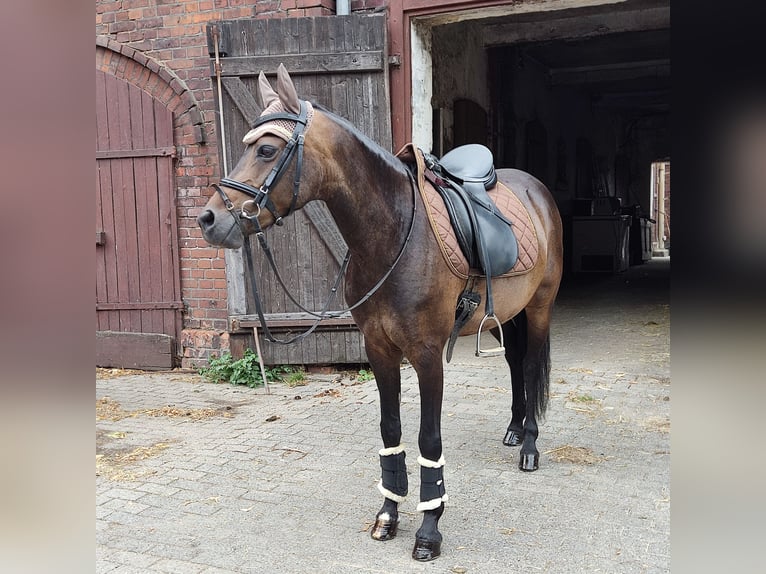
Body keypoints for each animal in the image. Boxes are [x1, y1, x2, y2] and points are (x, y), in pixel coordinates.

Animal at [198, 66, 564, 564]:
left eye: (267, 149)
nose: (210, 219)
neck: (393, 235)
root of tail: (535, 190)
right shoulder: (379, 349)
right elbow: (391, 431)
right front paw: (389, 515)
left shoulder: (427, 355)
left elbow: (429, 438)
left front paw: (429, 530)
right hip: (505, 313)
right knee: (513, 363)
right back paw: (512, 429)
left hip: (540, 306)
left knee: (528, 364)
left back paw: (528, 446)